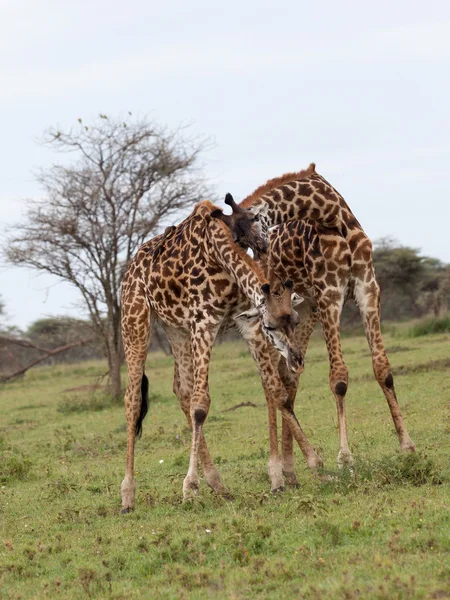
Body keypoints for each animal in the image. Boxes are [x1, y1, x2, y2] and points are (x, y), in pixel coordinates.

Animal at [118, 198, 320, 510]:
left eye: (296, 321)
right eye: (270, 326)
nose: (297, 360)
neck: (218, 253)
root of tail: (130, 269)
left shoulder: (245, 321)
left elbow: (278, 392)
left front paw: (314, 464)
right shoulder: (204, 321)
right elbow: (201, 405)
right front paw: (190, 487)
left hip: (175, 327)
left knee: (182, 389)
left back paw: (218, 484)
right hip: (135, 318)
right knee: (133, 399)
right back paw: (128, 495)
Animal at [237, 162, 416, 486]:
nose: (261, 254)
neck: (337, 220)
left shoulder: (367, 288)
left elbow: (383, 369)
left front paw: (407, 446)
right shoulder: (330, 293)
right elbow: (339, 378)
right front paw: (345, 459)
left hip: (305, 311)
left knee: (288, 375)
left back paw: (291, 471)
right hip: (276, 319)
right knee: (270, 382)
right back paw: (276, 472)